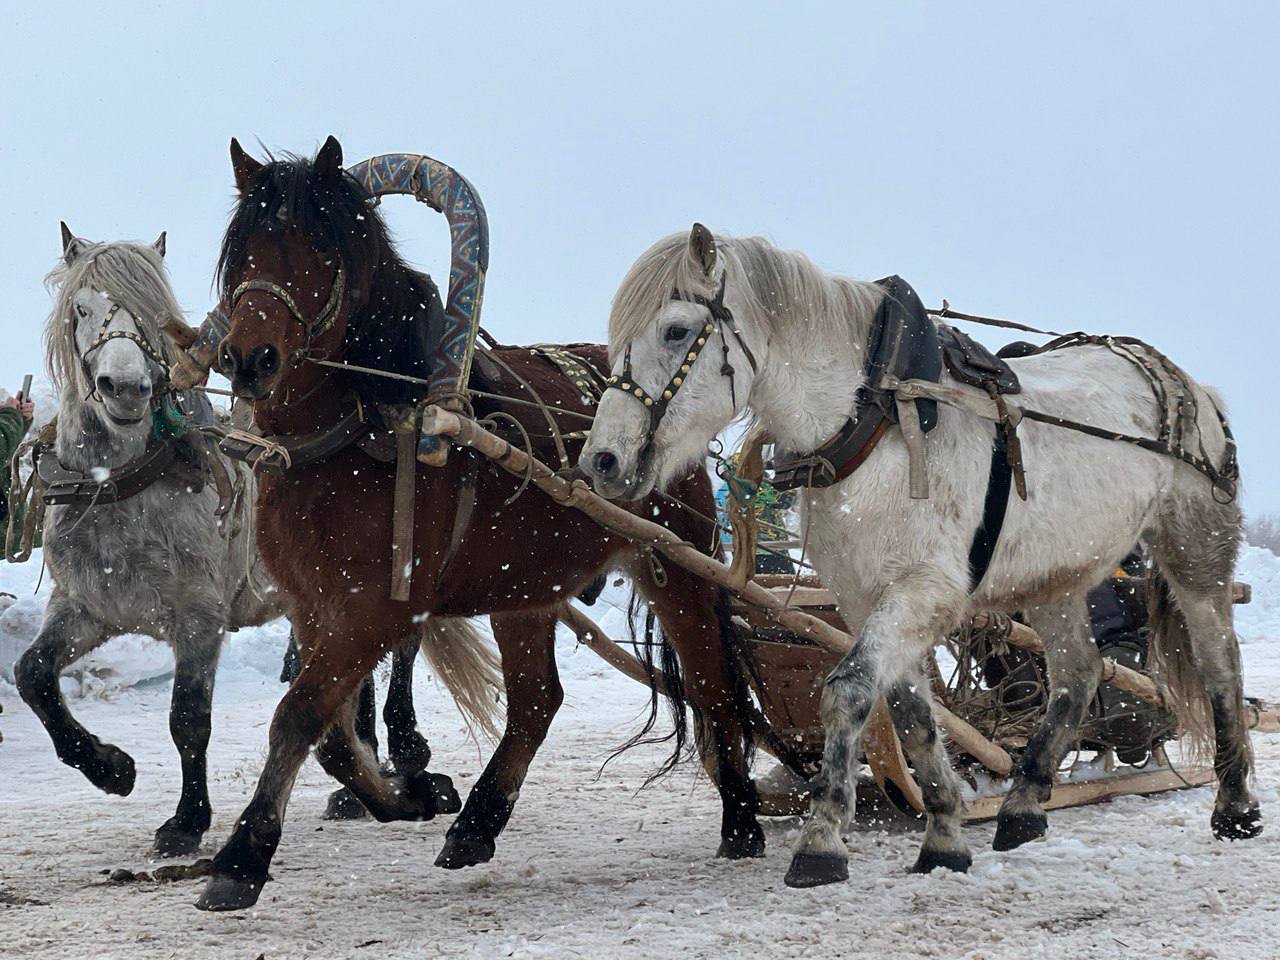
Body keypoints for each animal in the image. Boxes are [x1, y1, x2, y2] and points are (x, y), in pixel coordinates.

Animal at [185, 138, 752, 911]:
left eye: (318, 247)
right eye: (242, 251)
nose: (248, 359)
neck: (364, 425)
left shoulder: (370, 611)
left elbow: (297, 715)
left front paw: (243, 855)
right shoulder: (313, 606)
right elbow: (329, 735)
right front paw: (411, 795)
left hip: (676, 564)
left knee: (711, 684)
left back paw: (743, 820)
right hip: (527, 585)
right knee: (539, 700)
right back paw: (479, 821)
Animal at [583, 224, 1259, 885]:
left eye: (675, 330)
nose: (601, 461)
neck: (873, 420)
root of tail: (1187, 383)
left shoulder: (924, 588)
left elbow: (851, 689)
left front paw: (822, 840)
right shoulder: (865, 596)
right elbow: (909, 713)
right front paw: (943, 836)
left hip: (1194, 547)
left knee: (1219, 662)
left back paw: (1235, 806)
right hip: (1057, 575)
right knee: (1079, 673)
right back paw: (1022, 805)